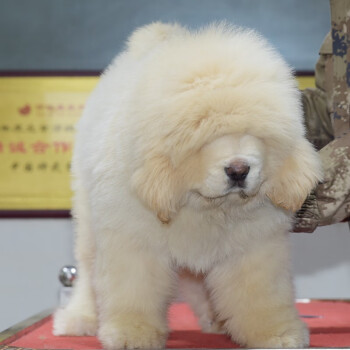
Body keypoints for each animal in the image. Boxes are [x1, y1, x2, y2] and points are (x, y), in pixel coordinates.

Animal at [52, 23, 322, 348]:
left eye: (256, 134)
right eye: (204, 135)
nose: (239, 169)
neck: (200, 205)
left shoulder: (254, 246)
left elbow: (261, 296)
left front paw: (278, 334)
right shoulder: (134, 240)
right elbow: (133, 291)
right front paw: (133, 333)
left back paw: (217, 321)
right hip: (88, 221)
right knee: (88, 273)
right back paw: (79, 319)